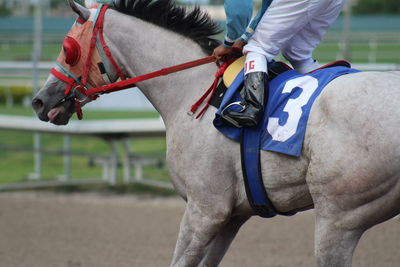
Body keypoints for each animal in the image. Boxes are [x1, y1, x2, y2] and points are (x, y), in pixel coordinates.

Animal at [32, 1, 400, 266]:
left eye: (67, 48)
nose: (39, 100)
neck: (190, 89)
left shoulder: (205, 210)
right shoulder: (231, 217)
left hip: (337, 218)